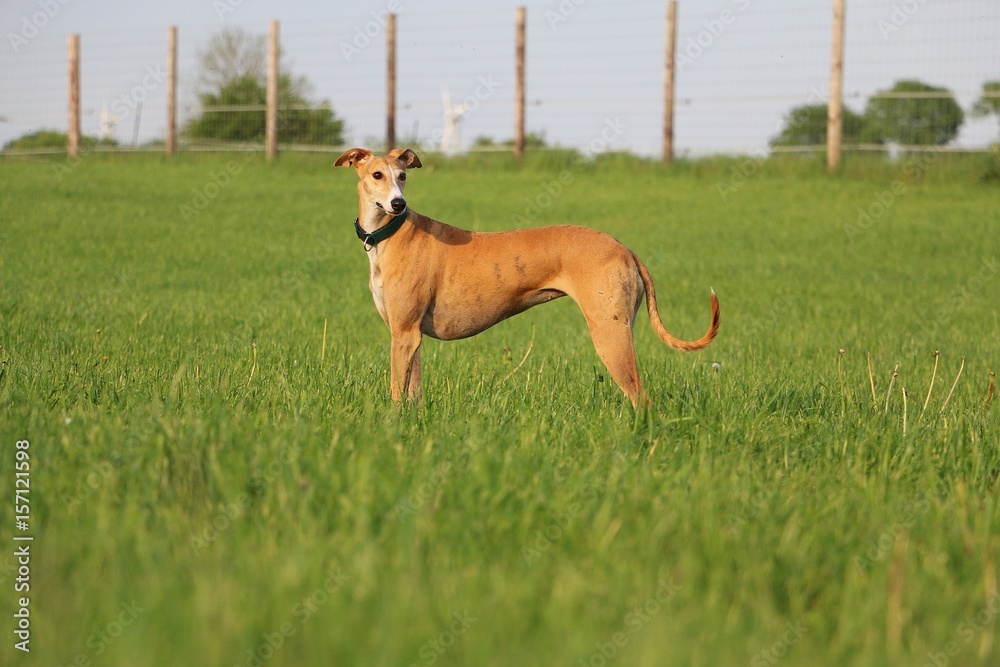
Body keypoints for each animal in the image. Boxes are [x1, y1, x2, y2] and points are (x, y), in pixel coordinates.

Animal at [336, 147, 720, 408]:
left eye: (402, 176)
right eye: (377, 175)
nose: (398, 204)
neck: (390, 234)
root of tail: (625, 248)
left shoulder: (403, 334)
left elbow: (395, 395)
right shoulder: (409, 335)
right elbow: (411, 393)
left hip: (609, 335)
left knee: (641, 398)